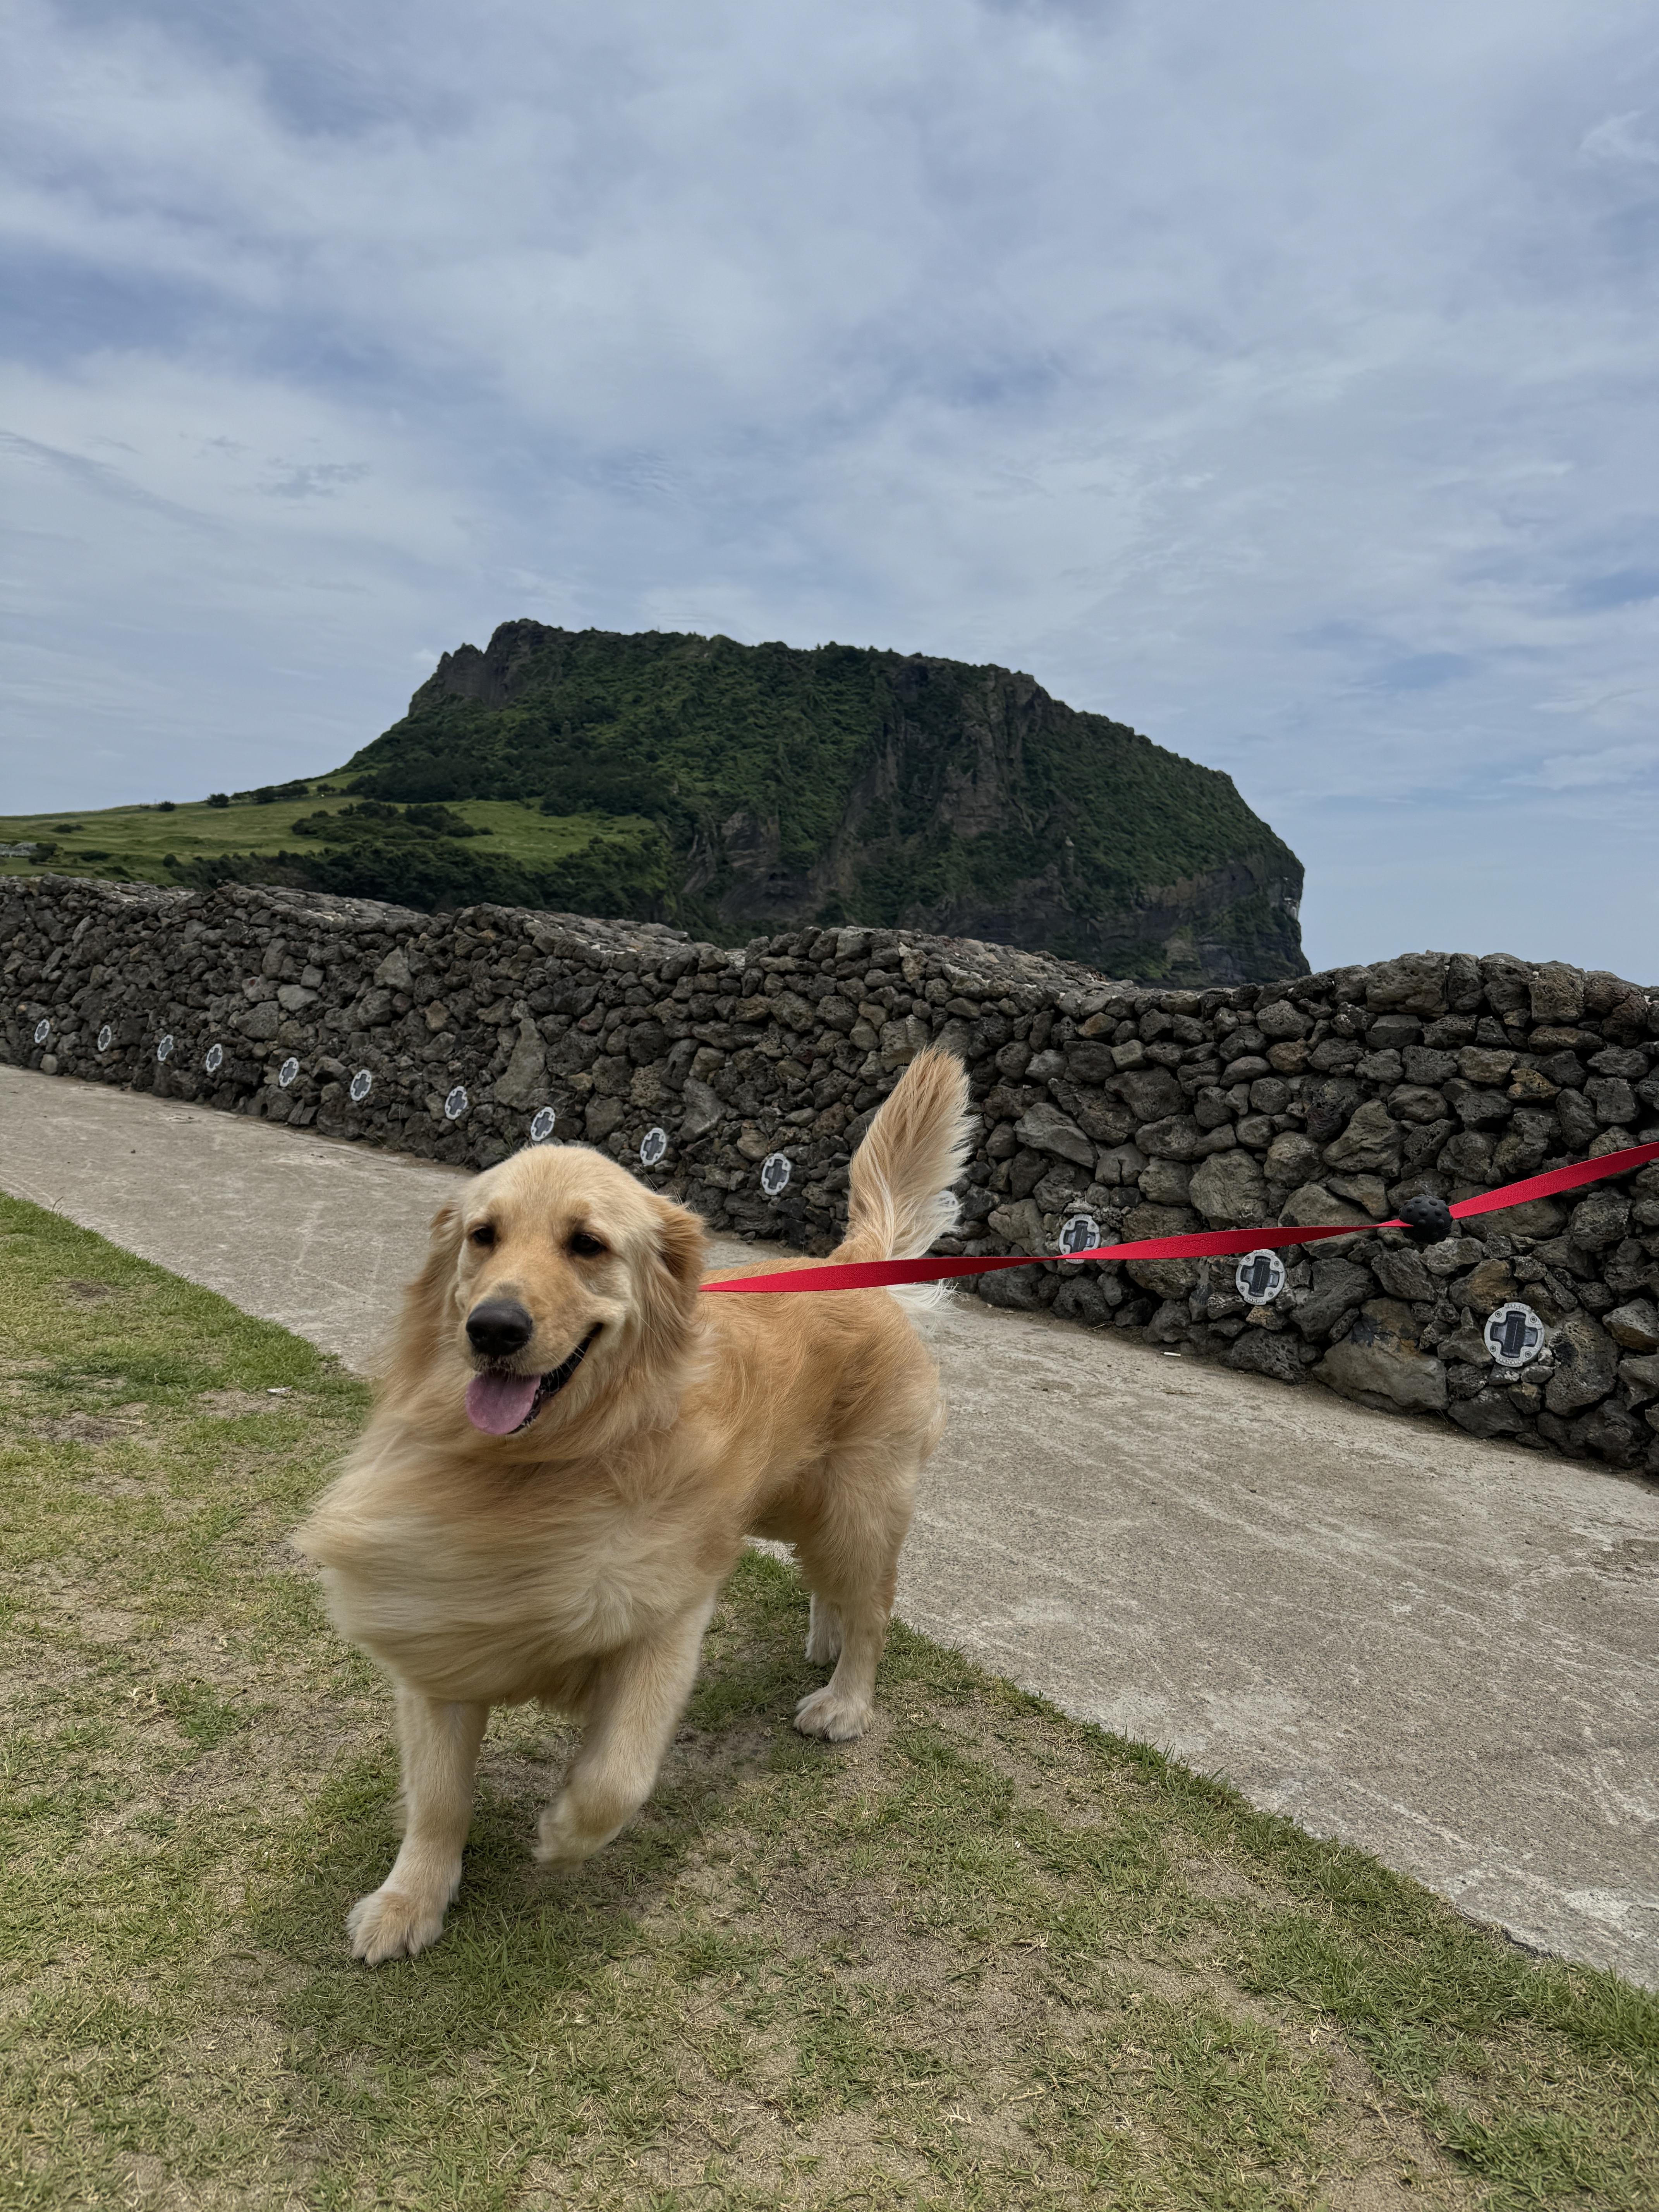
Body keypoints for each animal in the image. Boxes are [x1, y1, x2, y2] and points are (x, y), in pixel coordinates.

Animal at [293, 1045, 974, 1964]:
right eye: (483, 1235)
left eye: (587, 1244)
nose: (492, 1328)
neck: (552, 1460)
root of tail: (851, 1261)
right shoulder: (438, 1620)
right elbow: (436, 1796)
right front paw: (410, 1900)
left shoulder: (664, 1613)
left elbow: (617, 1777)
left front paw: (561, 1832)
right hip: (790, 1504)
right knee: (831, 1586)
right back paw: (822, 1638)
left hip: (858, 1503)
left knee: (873, 1606)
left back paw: (844, 1698)